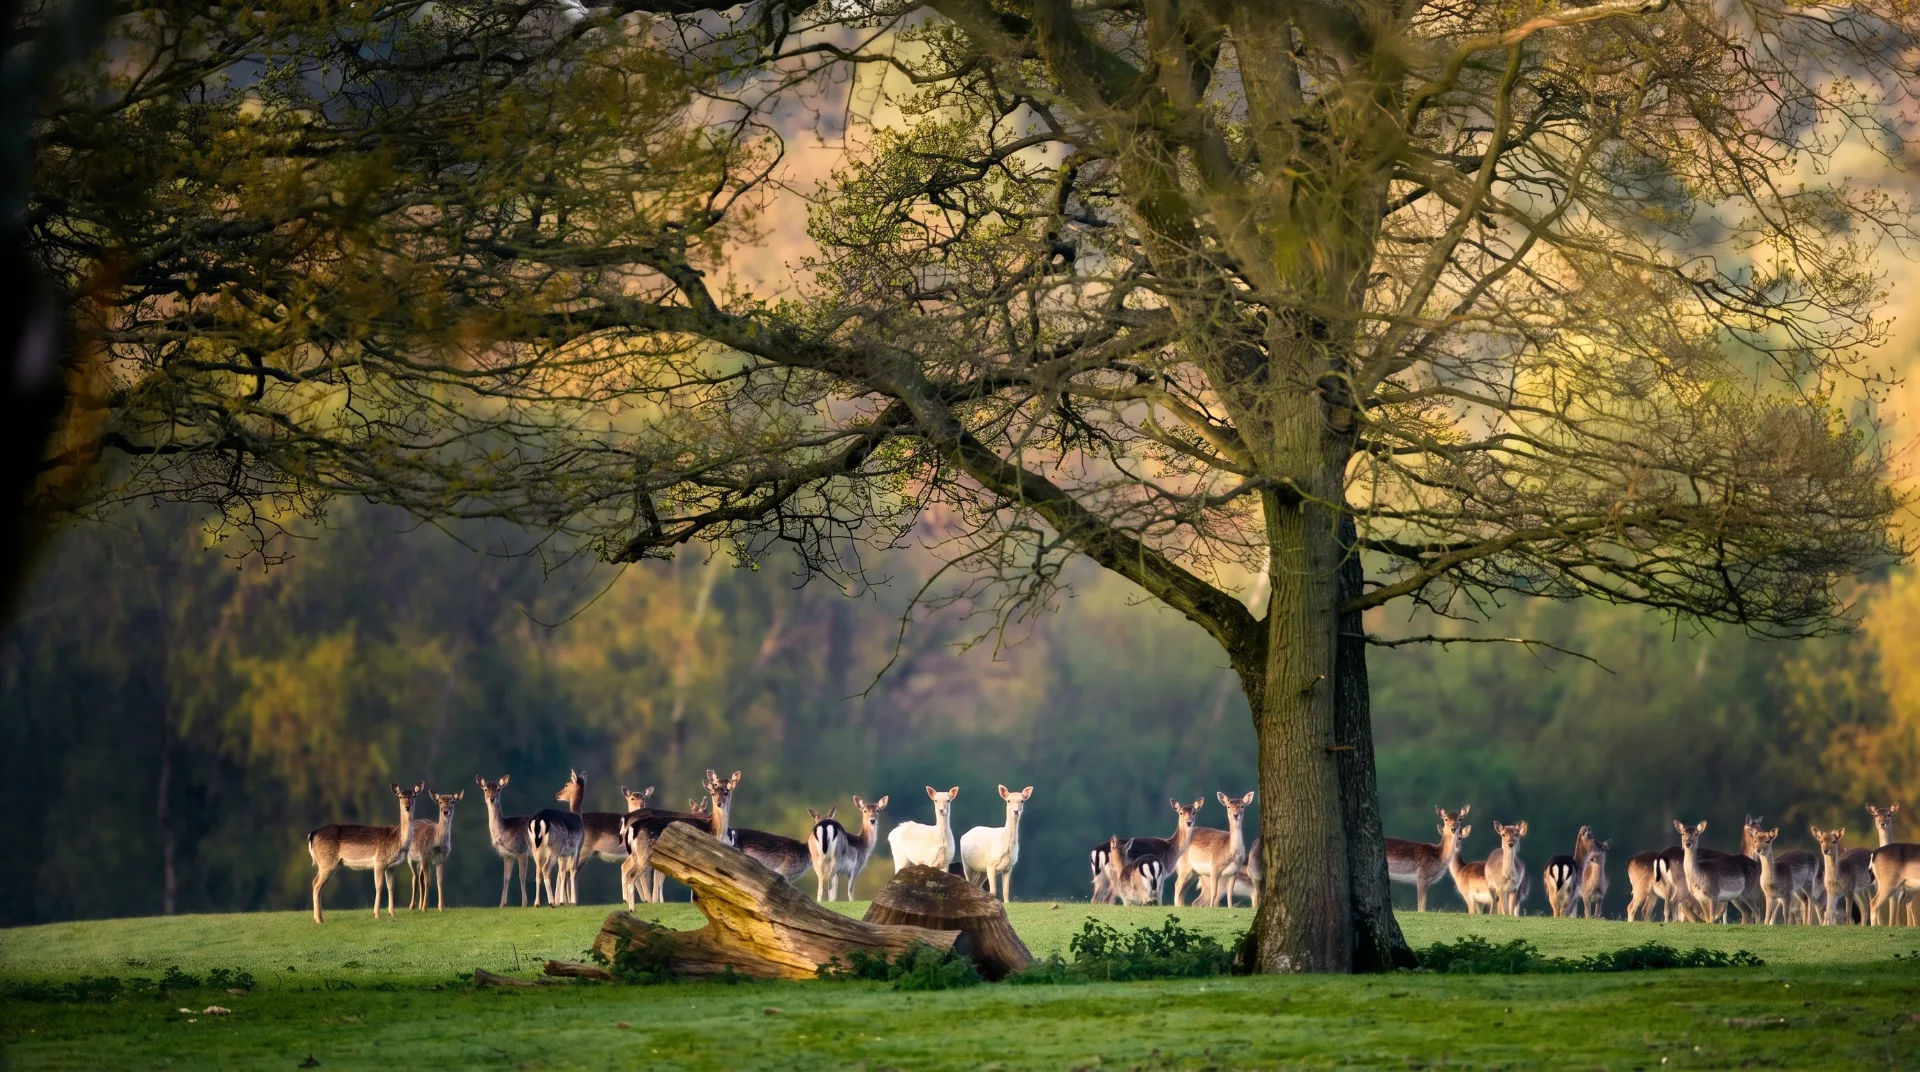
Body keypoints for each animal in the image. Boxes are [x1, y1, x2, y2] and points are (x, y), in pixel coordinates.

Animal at [307, 782, 423, 924]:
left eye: (414, 795)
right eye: (400, 796)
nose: (407, 806)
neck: (397, 841)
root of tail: (312, 835)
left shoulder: (391, 866)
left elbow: (391, 887)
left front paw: (392, 914)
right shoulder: (379, 861)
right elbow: (379, 886)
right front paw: (377, 914)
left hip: (327, 864)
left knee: (318, 885)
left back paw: (320, 918)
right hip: (327, 863)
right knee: (316, 884)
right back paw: (319, 920)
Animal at [475, 776, 533, 908]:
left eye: (498, 789)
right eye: (485, 789)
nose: (492, 799)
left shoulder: (522, 850)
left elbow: (521, 876)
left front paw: (524, 903)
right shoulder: (507, 855)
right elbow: (506, 877)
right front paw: (502, 904)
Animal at [529, 770, 587, 906]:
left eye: (566, 785)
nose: (557, 794)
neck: (578, 817)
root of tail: (538, 820)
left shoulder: (563, 854)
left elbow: (562, 872)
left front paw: (562, 901)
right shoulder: (577, 847)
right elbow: (572, 870)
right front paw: (573, 901)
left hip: (535, 848)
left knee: (538, 871)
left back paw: (537, 903)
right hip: (555, 846)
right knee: (545, 869)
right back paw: (551, 902)